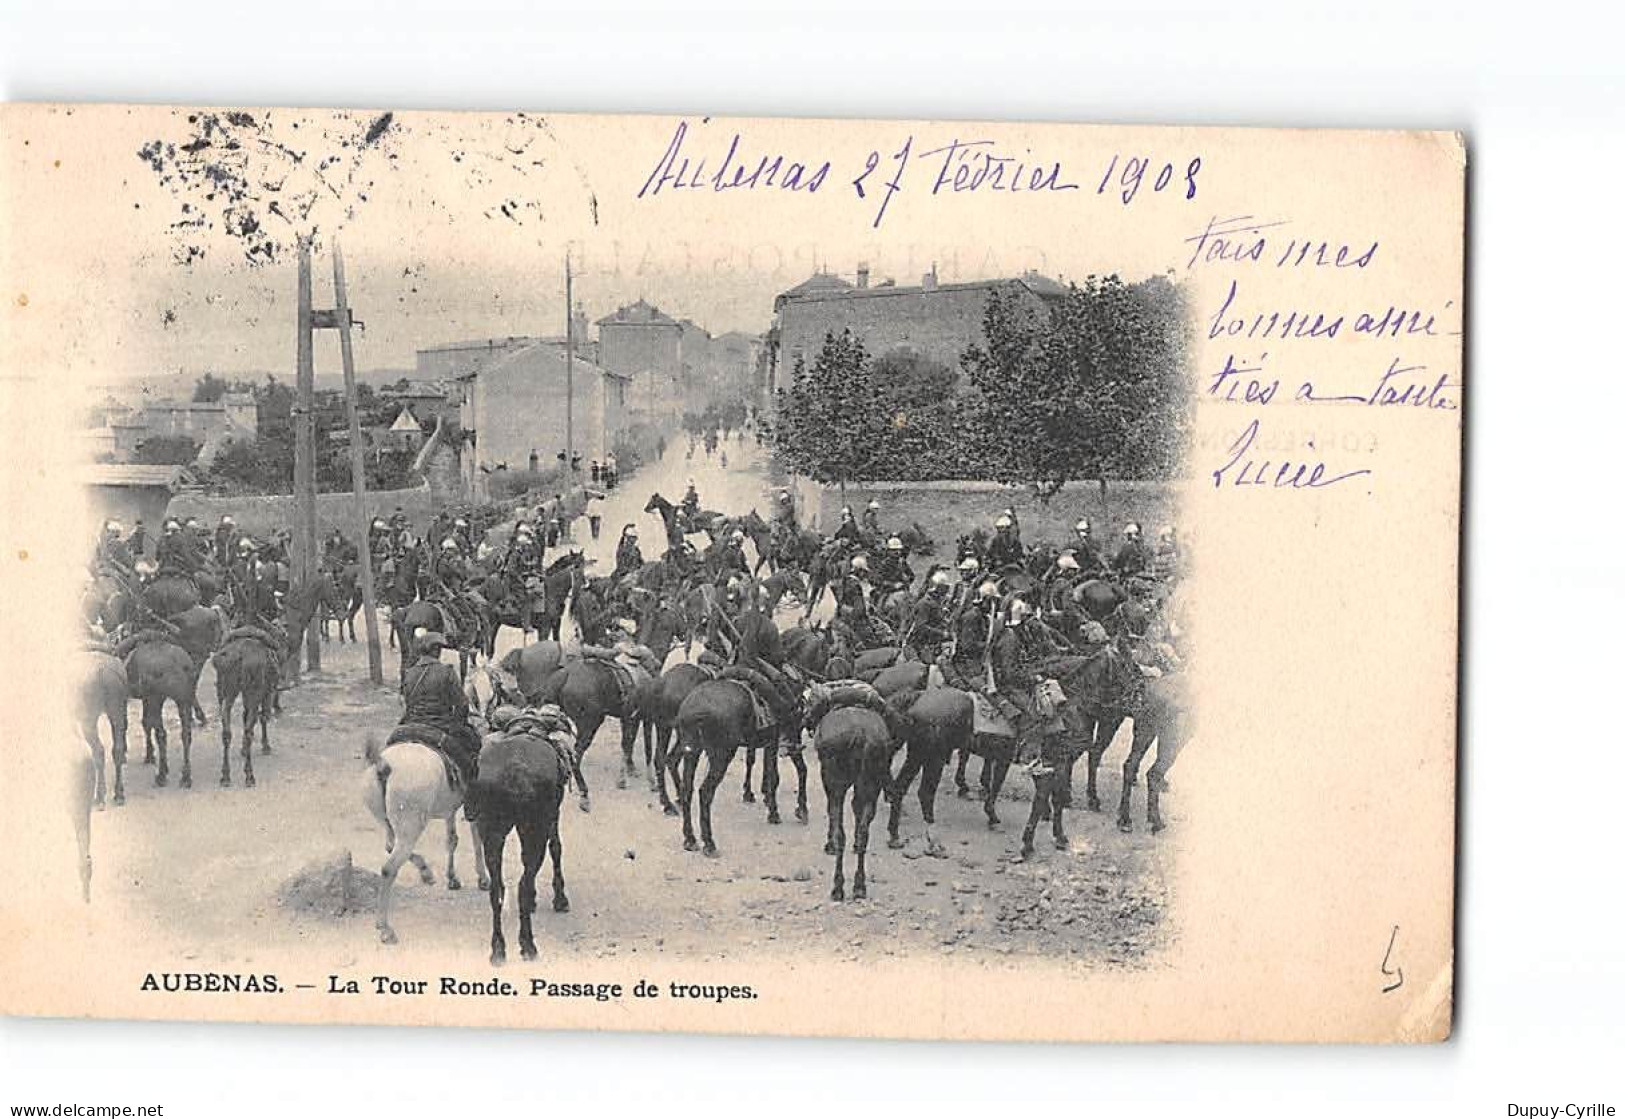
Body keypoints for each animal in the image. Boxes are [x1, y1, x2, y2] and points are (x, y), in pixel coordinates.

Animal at [355, 734, 481, 941]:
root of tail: (384, 765)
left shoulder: (450, 809)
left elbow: (452, 840)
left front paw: (452, 878)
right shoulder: (473, 805)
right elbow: (477, 843)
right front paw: (483, 879)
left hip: (388, 822)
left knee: (390, 846)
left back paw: (425, 872)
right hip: (411, 825)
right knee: (389, 868)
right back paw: (384, 927)